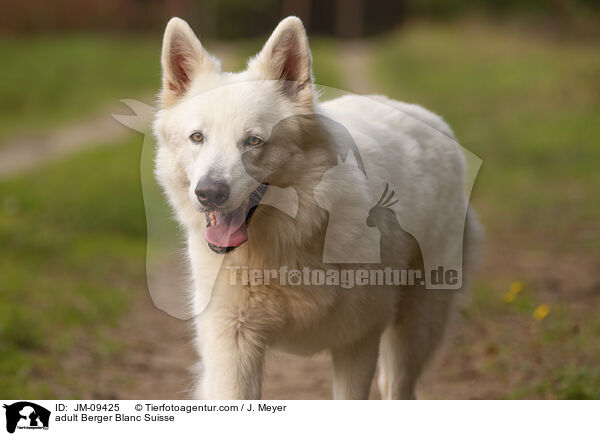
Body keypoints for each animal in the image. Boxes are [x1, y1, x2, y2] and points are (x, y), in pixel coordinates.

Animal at [152, 16, 480, 398]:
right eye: (197, 138)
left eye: (253, 141)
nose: (209, 193)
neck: (285, 247)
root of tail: (426, 117)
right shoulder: (231, 344)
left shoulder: (358, 342)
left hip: (416, 328)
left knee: (399, 387)